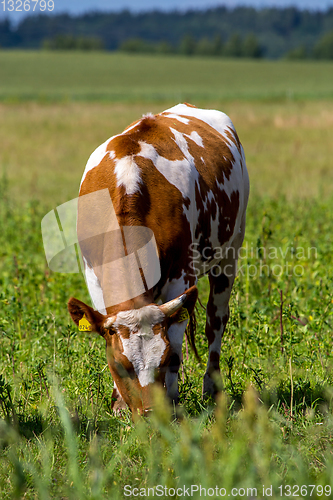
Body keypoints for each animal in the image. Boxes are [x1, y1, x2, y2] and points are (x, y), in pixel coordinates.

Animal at [67, 101, 248, 414]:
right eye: (120, 366)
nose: (150, 412)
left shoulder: (181, 276)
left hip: (229, 254)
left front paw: (172, 397)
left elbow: (176, 334)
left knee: (216, 321)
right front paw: (118, 403)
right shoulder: (95, 278)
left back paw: (212, 388)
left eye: (166, 361)